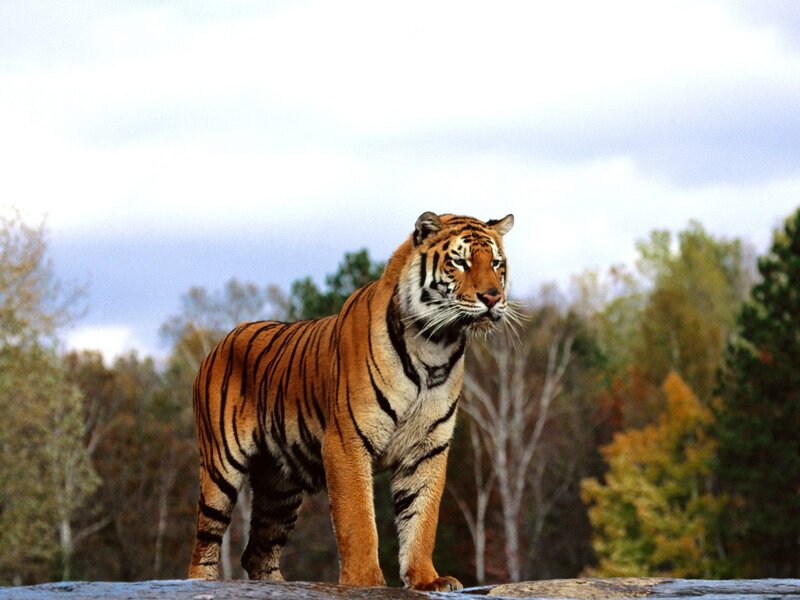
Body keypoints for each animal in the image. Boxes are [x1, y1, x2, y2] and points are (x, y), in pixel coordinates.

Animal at [188, 211, 515, 590]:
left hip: (279, 486)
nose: (492, 297)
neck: (435, 346)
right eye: (460, 262)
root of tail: (220, 341)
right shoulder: (347, 441)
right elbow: (358, 520)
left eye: (496, 263)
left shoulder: (427, 448)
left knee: (258, 551)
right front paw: (365, 581)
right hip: (221, 468)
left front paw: (426, 579)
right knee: (205, 543)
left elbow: (422, 517)